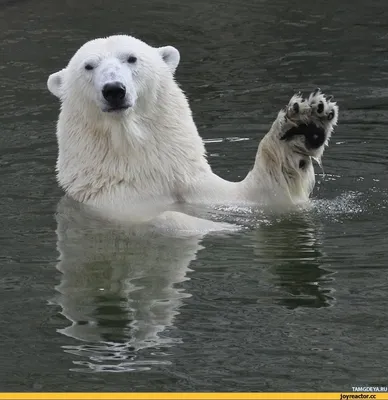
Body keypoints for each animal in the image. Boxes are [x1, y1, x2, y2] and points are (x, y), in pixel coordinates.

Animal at [47, 34, 338, 234]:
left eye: (131, 58)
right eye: (88, 66)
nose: (114, 90)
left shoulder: (190, 181)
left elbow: (262, 195)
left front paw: (304, 125)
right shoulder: (111, 204)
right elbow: (167, 218)